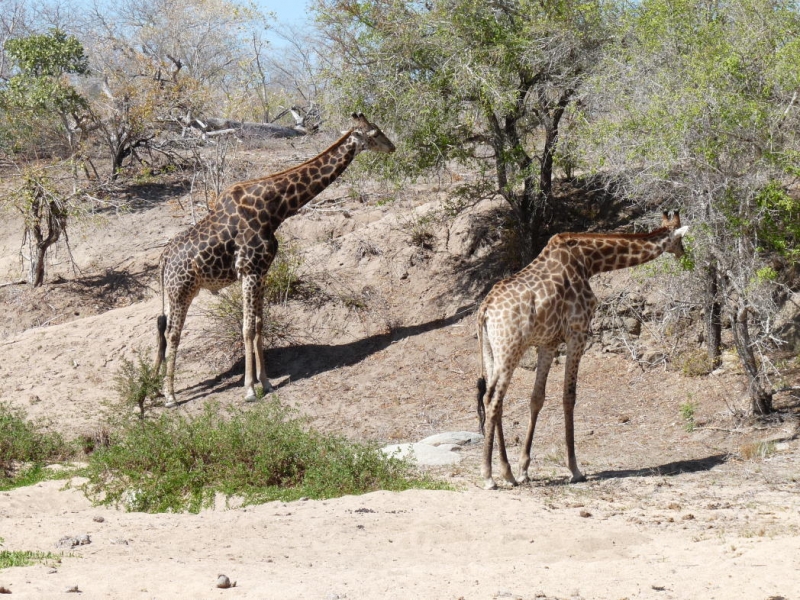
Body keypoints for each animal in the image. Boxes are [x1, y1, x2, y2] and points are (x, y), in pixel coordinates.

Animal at [476, 213, 688, 490]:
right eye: (680, 238)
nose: (684, 254)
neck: (590, 261)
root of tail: (484, 311)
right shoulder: (577, 333)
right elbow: (569, 397)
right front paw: (575, 469)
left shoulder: (548, 342)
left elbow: (537, 398)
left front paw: (524, 469)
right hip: (510, 349)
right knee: (493, 399)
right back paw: (489, 476)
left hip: (491, 351)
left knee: (493, 400)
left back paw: (508, 473)